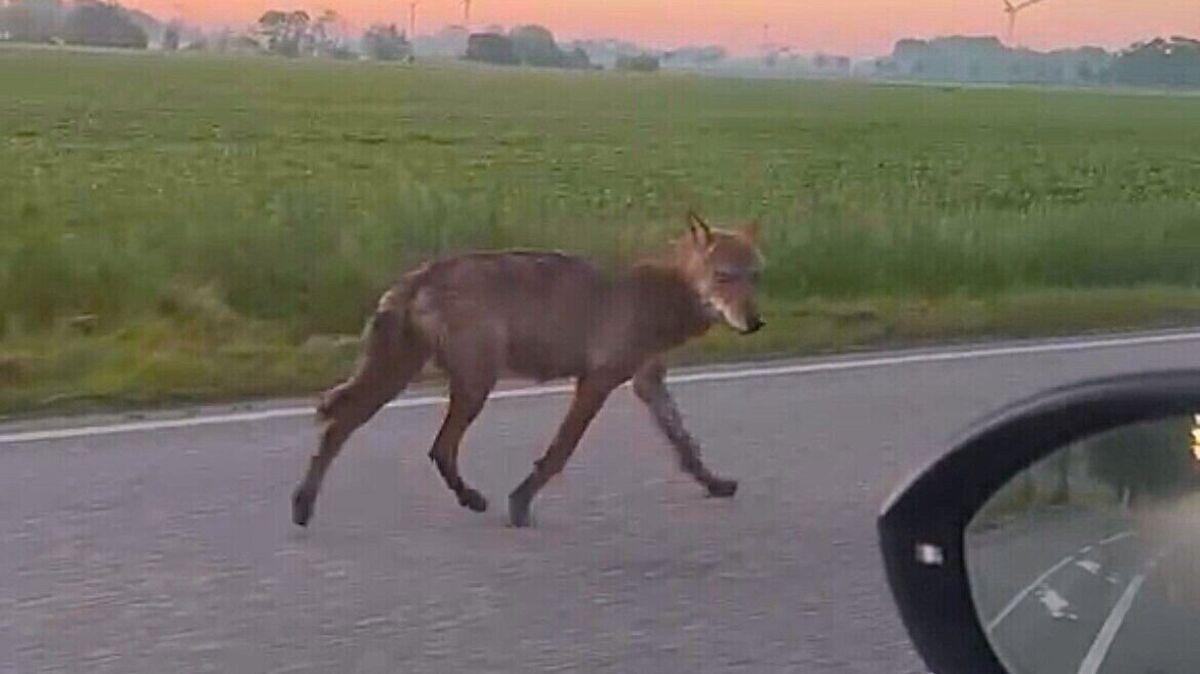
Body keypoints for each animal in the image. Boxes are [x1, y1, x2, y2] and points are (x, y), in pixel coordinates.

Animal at [292, 210, 765, 528]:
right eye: (724, 276)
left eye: (754, 276)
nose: (755, 323)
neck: (665, 295)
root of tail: (422, 274)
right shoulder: (596, 382)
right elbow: (559, 452)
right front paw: (520, 504)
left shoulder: (648, 383)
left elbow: (686, 445)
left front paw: (715, 484)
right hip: (472, 386)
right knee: (436, 447)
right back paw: (471, 500)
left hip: (402, 380)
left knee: (339, 428)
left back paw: (303, 506)